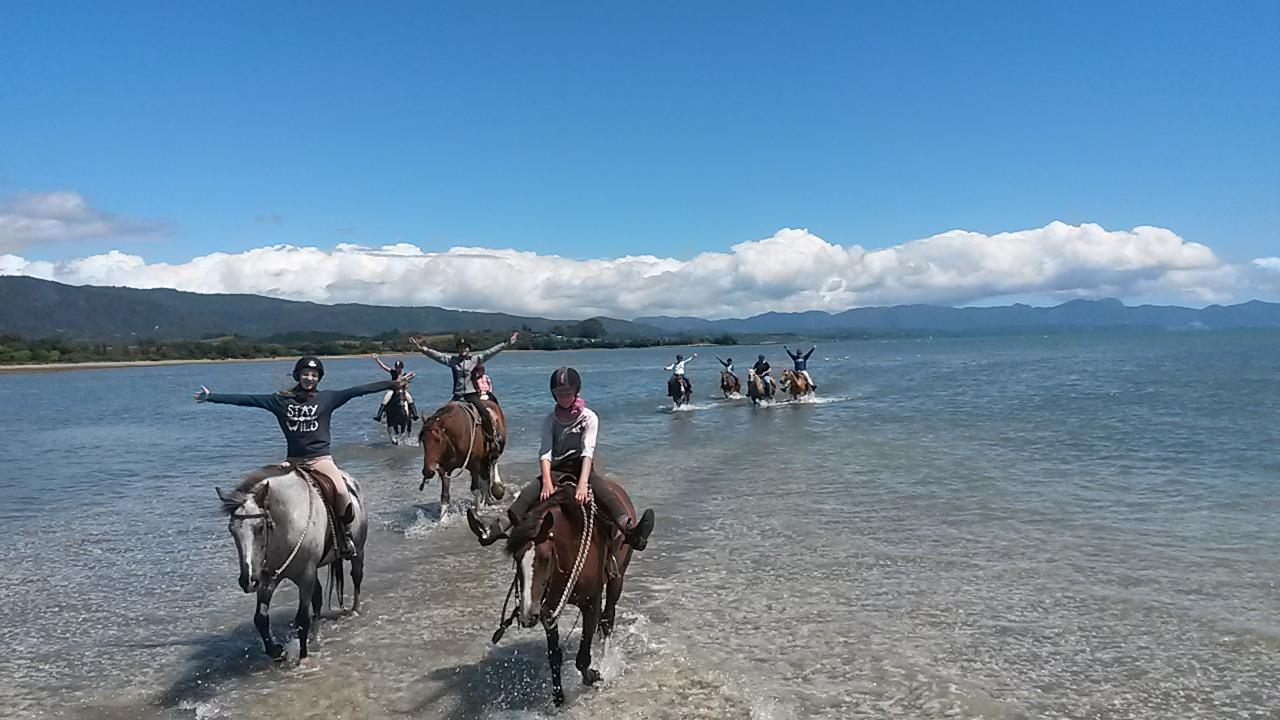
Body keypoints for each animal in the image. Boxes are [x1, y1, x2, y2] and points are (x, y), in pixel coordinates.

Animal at [213, 461, 366, 661]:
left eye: (260, 527)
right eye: (232, 529)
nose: (248, 581)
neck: (288, 520)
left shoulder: (306, 574)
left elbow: (302, 618)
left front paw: (303, 658)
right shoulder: (268, 577)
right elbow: (260, 618)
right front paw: (275, 651)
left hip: (357, 552)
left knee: (356, 576)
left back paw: (355, 610)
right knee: (317, 598)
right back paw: (314, 636)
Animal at [499, 476, 640, 702]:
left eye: (546, 558)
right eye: (517, 557)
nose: (527, 615)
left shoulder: (591, 603)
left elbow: (582, 658)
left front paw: (596, 675)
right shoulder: (548, 610)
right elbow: (554, 656)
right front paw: (558, 696)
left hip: (617, 578)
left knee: (608, 620)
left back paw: (606, 662)